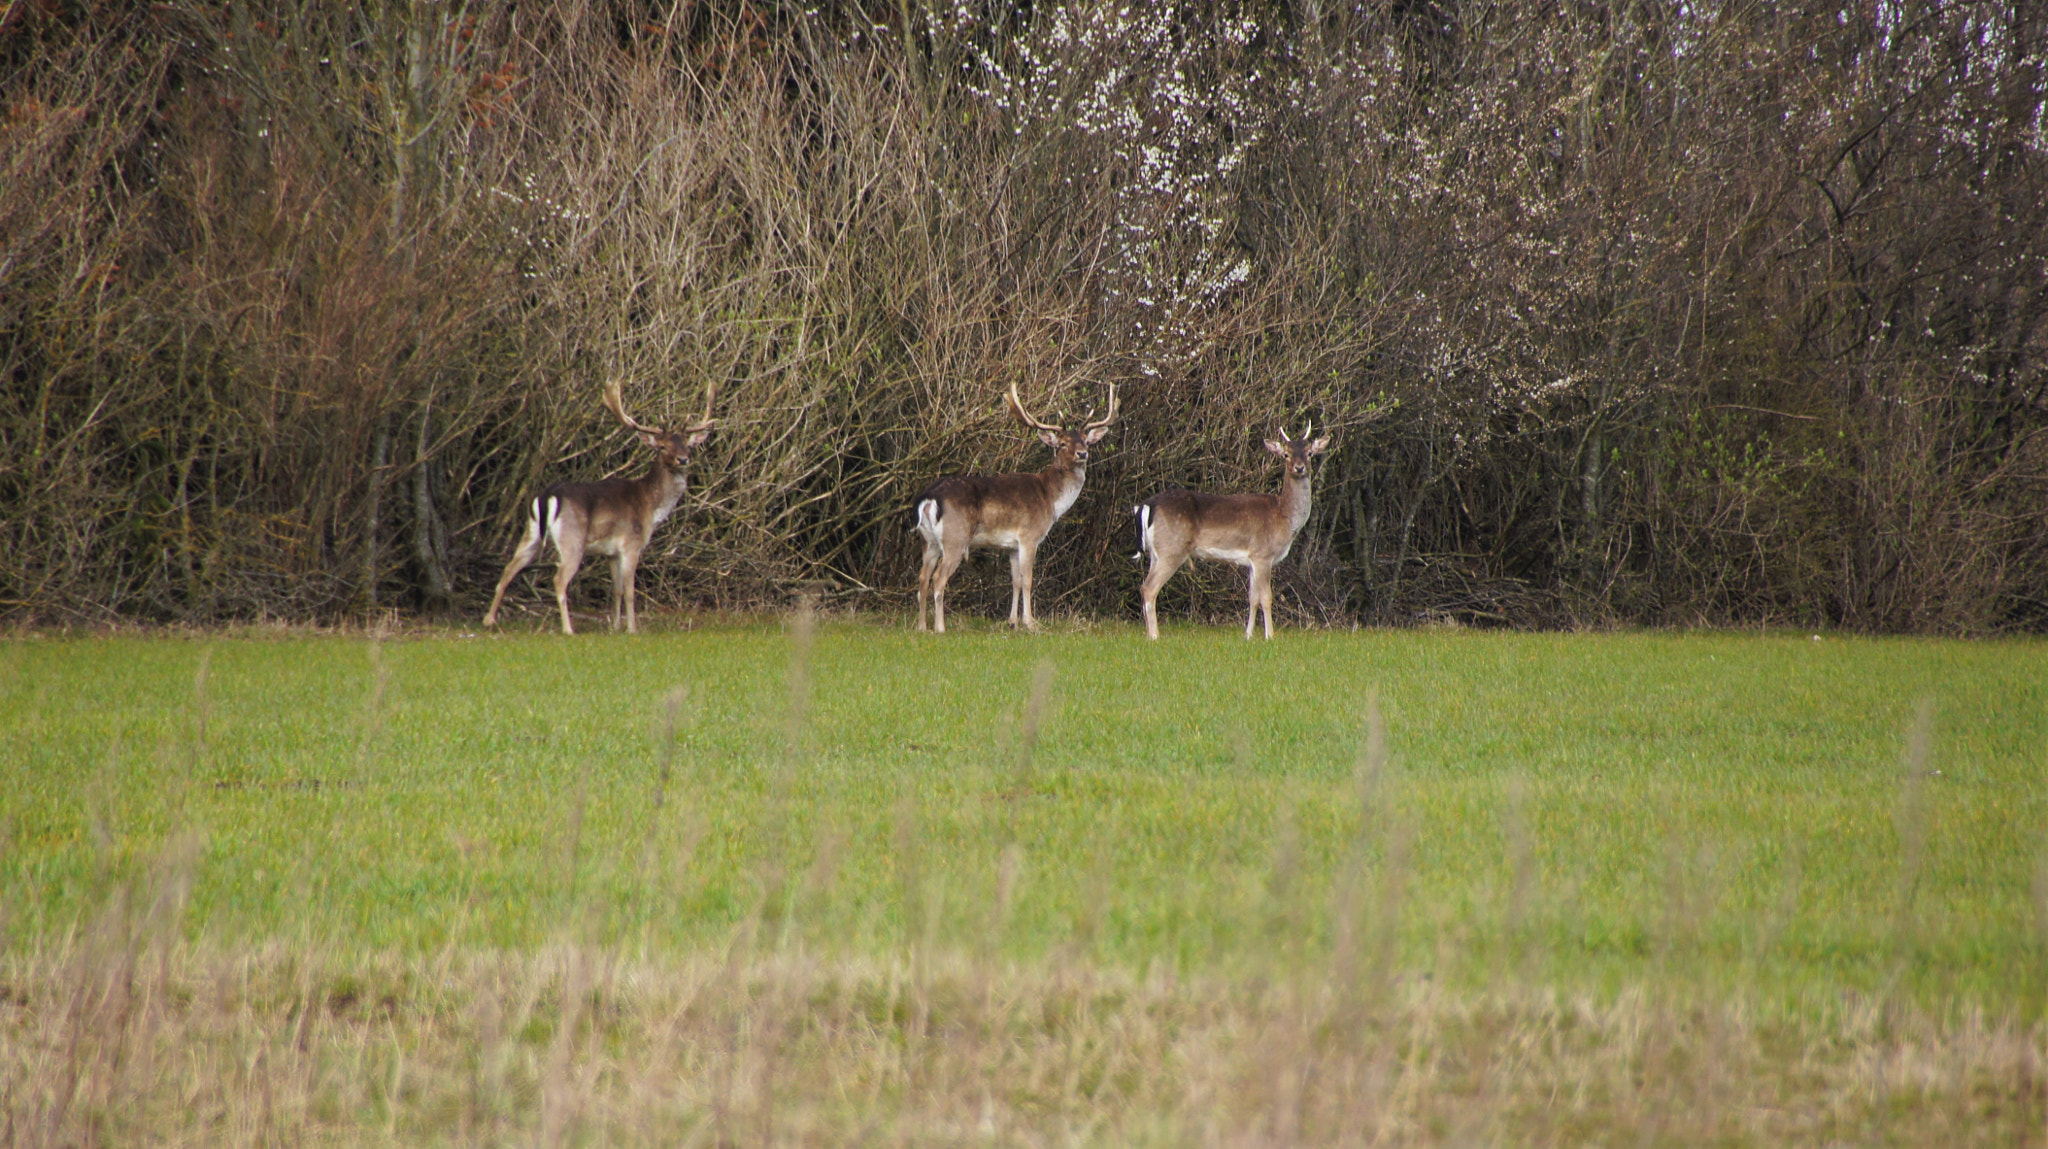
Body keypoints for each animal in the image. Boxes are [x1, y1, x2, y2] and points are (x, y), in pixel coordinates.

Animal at [482, 379, 717, 635]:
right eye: (662, 447)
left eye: (687, 445)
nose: (683, 459)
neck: (651, 507)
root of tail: (548, 496)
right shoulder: (631, 545)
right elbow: (630, 591)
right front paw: (632, 629)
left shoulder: (611, 552)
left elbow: (617, 590)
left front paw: (614, 627)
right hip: (572, 539)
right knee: (558, 579)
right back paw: (568, 629)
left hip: (531, 532)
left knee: (508, 569)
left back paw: (489, 620)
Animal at [913, 381, 1120, 633]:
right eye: (1062, 444)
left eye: (1085, 440)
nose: (1082, 453)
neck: (1050, 499)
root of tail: (929, 498)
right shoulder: (1029, 536)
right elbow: (1028, 579)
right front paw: (1031, 623)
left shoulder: (1011, 545)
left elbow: (1015, 581)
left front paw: (1012, 621)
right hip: (956, 538)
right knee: (938, 578)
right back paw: (940, 628)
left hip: (928, 540)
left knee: (922, 577)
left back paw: (922, 627)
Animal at [1133, 424, 1330, 640]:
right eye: (1286, 454)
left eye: (1309, 453)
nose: (1299, 468)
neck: (1284, 516)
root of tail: (1148, 504)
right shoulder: (1263, 554)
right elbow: (1266, 597)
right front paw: (1269, 636)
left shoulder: (1252, 560)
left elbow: (1252, 598)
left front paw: (1248, 636)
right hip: (1172, 548)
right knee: (1149, 588)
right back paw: (1155, 636)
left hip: (1156, 552)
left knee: (1144, 586)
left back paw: (1148, 634)